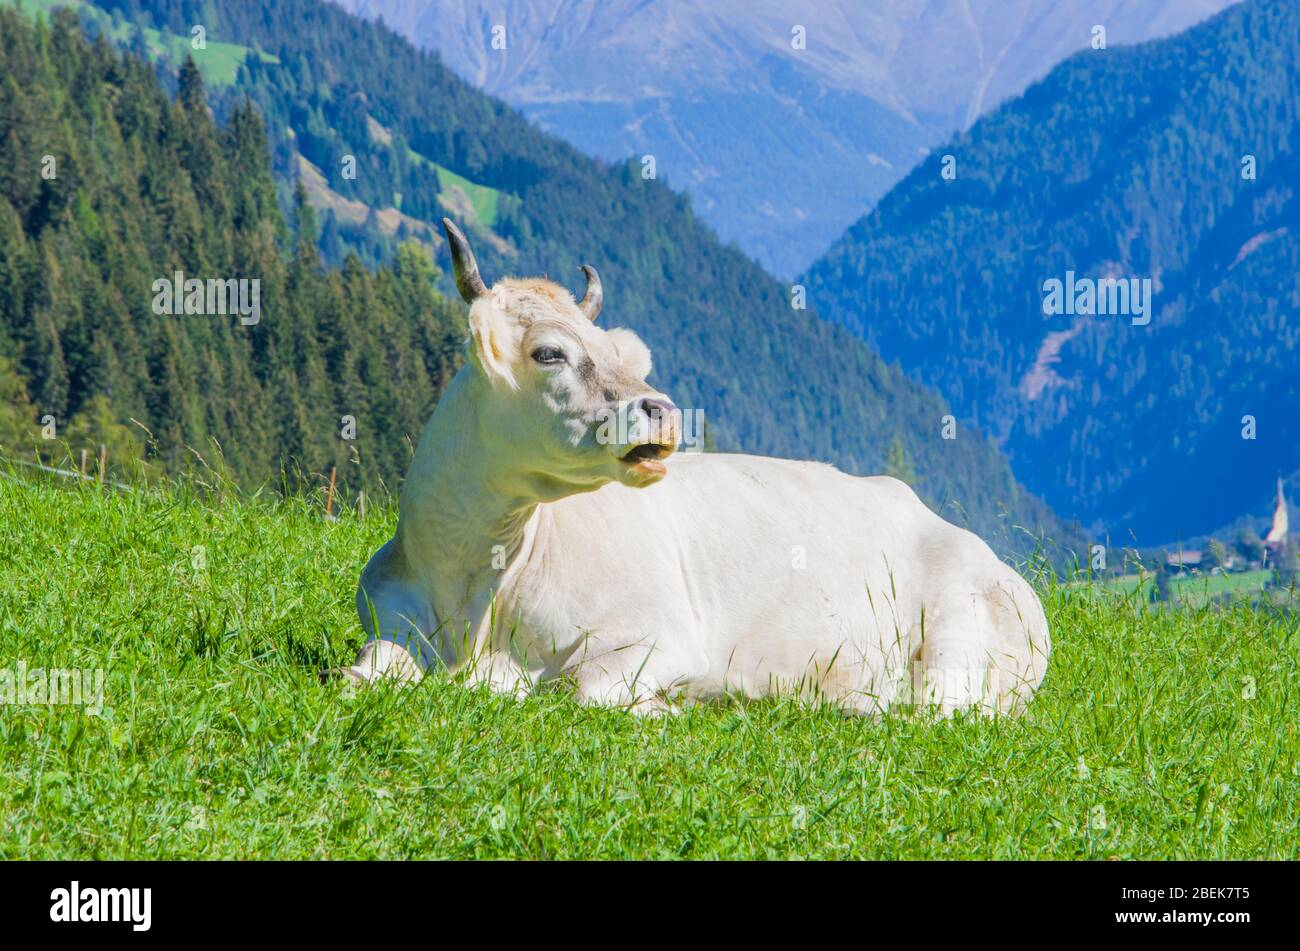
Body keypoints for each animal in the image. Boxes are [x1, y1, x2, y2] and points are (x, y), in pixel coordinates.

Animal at [340, 220, 1050, 711]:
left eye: (617, 354)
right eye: (549, 353)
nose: (662, 410)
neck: (471, 584)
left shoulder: (661, 634)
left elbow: (579, 691)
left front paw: (667, 706)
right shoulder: (386, 621)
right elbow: (358, 675)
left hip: (957, 637)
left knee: (932, 709)